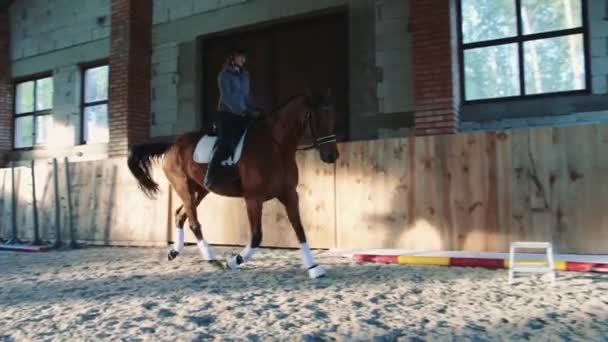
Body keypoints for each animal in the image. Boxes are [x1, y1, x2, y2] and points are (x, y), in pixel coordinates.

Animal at [127, 90, 340, 278]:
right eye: (317, 119)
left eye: (332, 117)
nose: (332, 156)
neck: (276, 147)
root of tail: (172, 145)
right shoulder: (253, 199)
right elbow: (256, 236)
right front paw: (233, 261)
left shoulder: (289, 194)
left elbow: (299, 229)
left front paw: (314, 268)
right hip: (183, 187)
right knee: (194, 223)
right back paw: (212, 260)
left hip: (200, 190)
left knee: (180, 215)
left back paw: (174, 251)